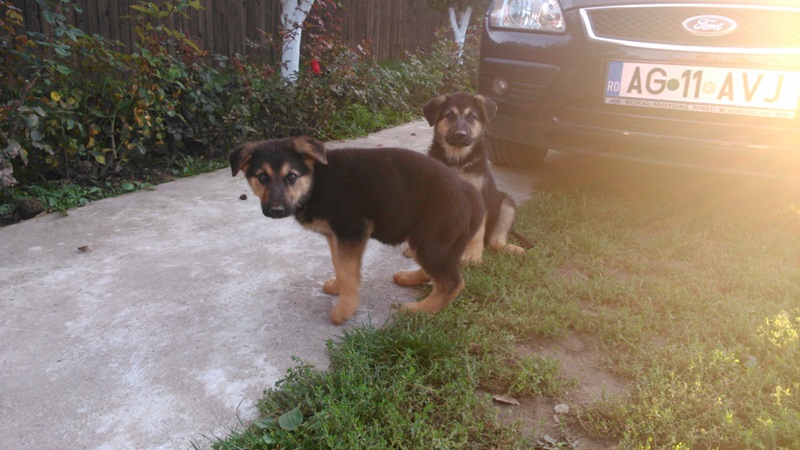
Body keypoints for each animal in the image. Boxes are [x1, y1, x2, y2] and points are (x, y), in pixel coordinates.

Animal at [229, 136, 485, 325]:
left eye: (291, 176)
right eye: (262, 177)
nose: (276, 210)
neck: (315, 182)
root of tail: (472, 194)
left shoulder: (351, 230)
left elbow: (347, 269)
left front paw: (345, 309)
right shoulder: (336, 235)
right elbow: (340, 266)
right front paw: (337, 287)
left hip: (431, 236)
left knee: (452, 282)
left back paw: (420, 309)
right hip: (433, 240)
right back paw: (411, 278)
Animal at [422, 92, 528, 259]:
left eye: (471, 117)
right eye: (449, 115)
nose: (460, 135)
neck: (457, 160)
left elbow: (477, 233)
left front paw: (472, 255)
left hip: (507, 205)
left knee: (494, 242)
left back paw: (512, 248)